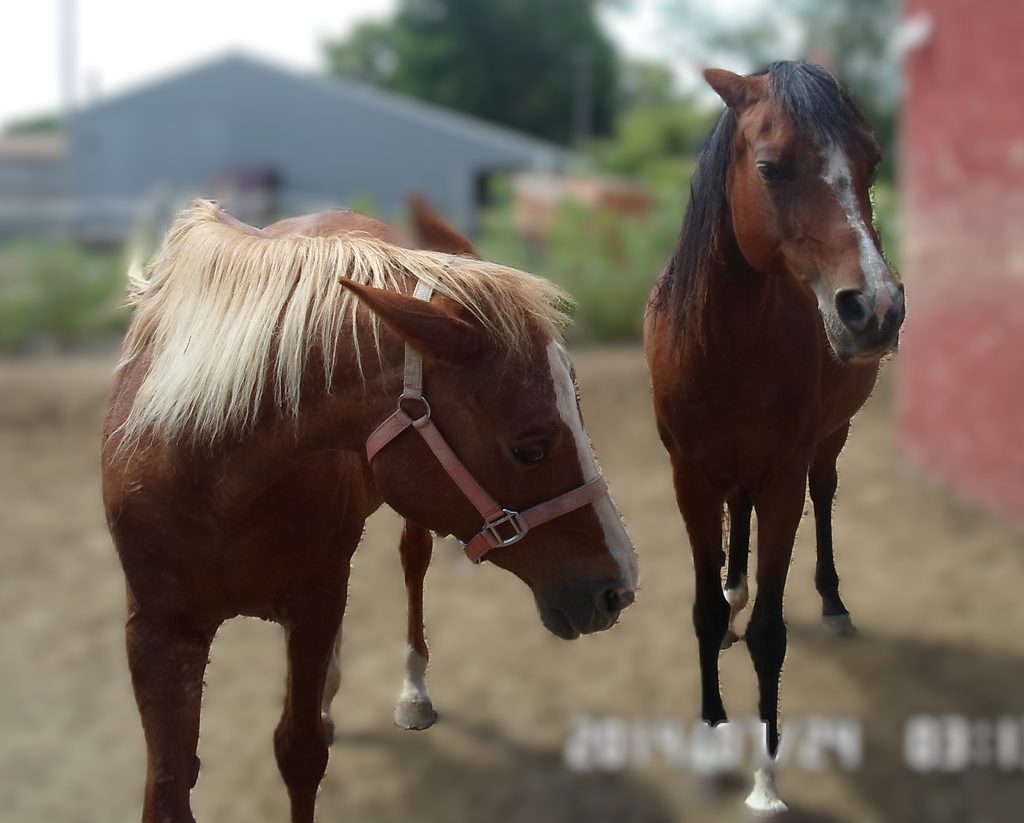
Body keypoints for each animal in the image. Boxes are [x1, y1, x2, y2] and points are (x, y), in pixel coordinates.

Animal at [102, 198, 638, 823]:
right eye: (530, 447)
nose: (618, 587)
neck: (209, 474)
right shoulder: (157, 628)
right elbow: (167, 787)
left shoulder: (315, 602)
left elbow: (300, 750)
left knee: (413, 562)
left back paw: (410, 693)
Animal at [644, 61, 905, 815]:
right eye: (769, 166)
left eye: (873, 161)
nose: (877, 308)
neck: (725, 345)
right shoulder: (691, 477)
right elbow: (705, 612)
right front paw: (710, 746)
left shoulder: (784, 476)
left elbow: (770, 631)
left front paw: (765, 778)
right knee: (740, 522)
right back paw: (737, 587)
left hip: (829, 441)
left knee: (825, 496)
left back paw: (834, 604)